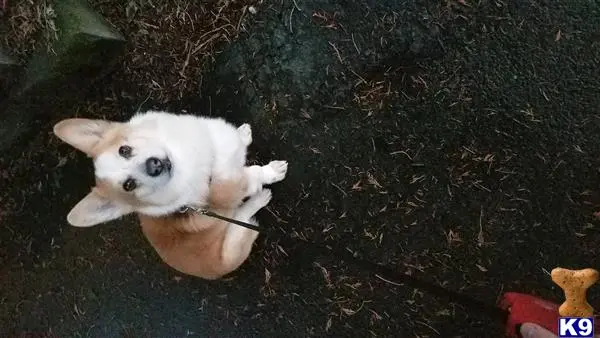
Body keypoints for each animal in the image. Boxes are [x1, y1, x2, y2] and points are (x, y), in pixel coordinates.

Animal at [52, 111, 288, 280]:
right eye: (129, 185)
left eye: (124, 150)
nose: (154, 165)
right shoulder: (230, 187)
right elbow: (251, 175)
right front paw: (272, 172)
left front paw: (242, 134)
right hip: (231, 248)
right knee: (244, 221)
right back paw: (260, 199)